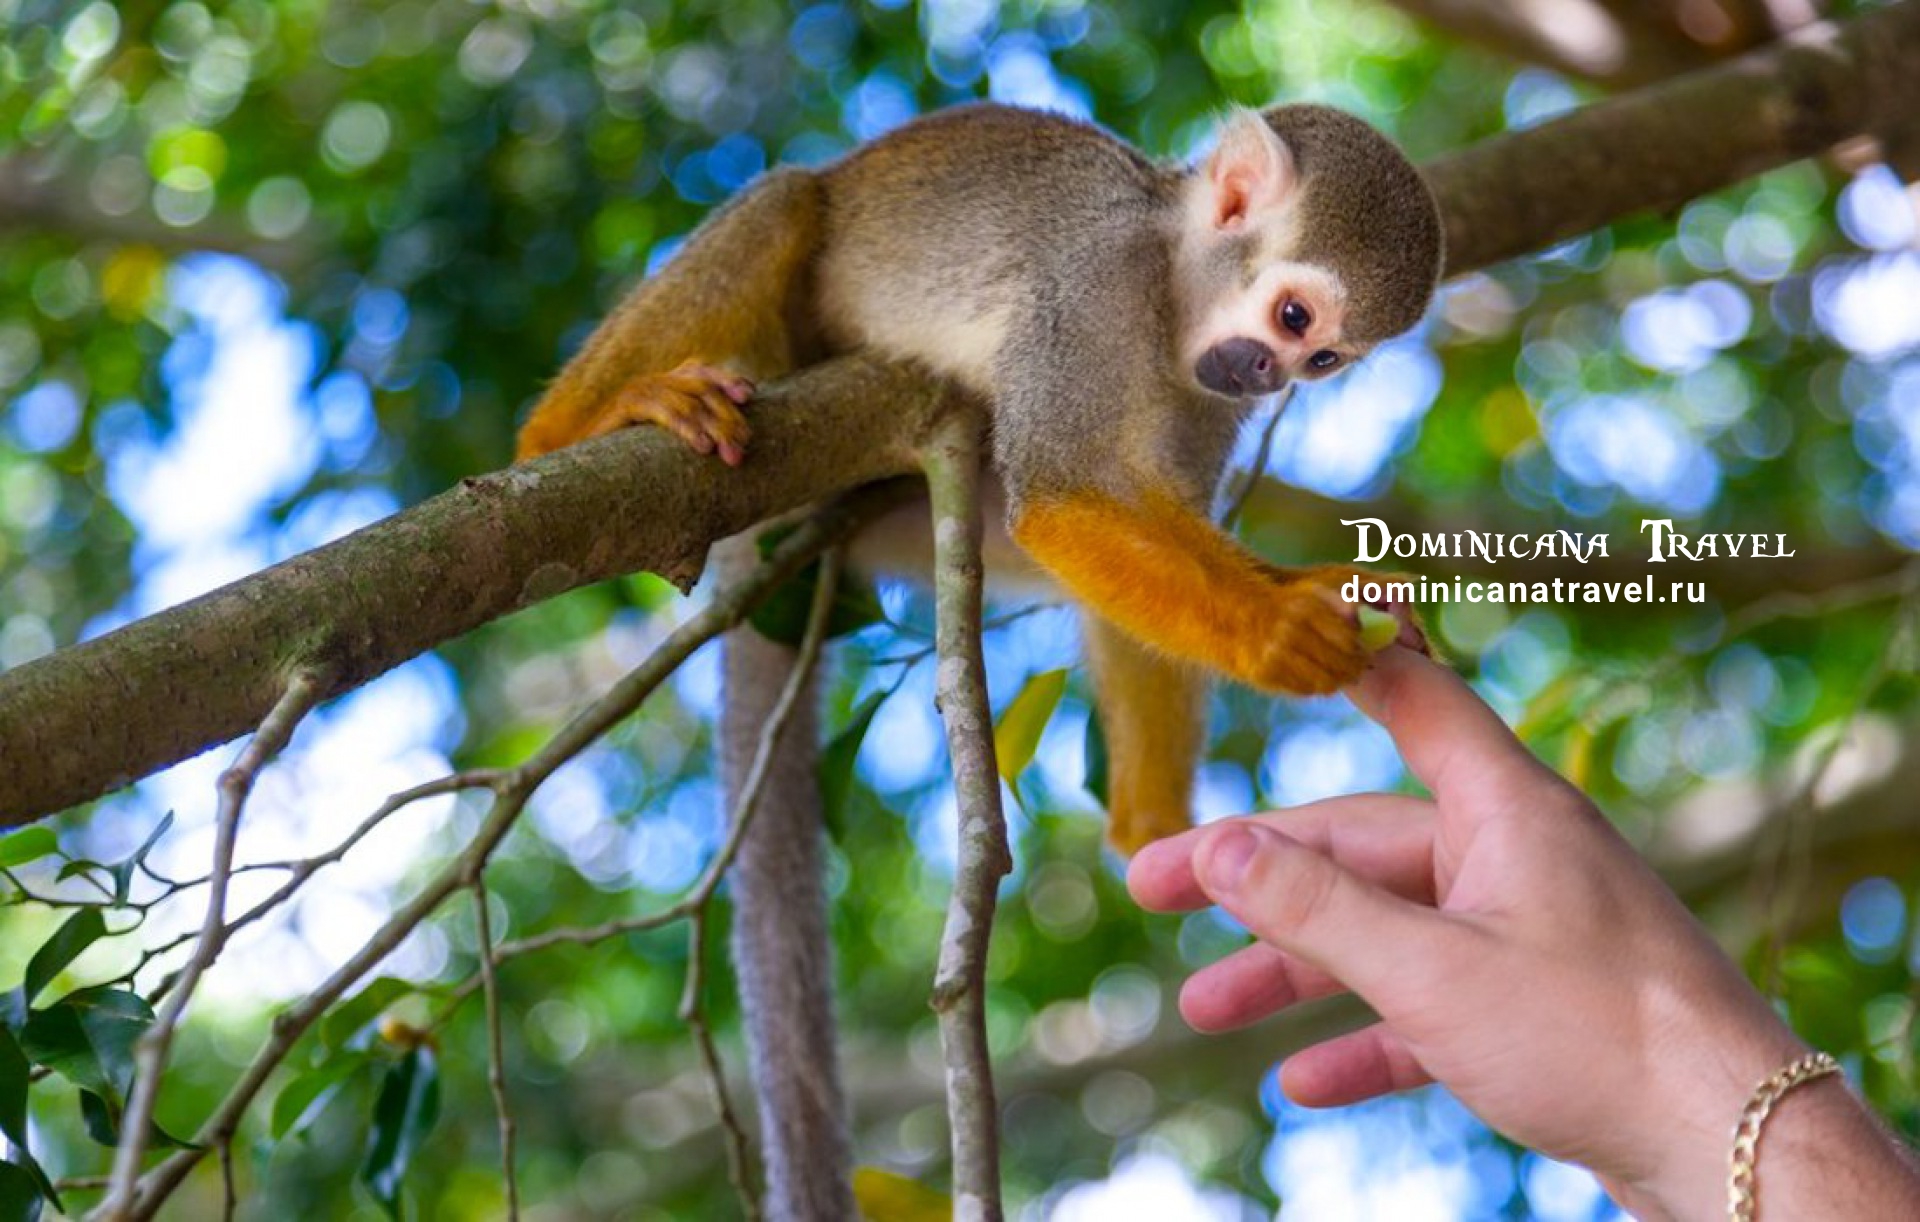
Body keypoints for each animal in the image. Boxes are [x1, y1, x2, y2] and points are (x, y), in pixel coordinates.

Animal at [514, 101, 1442, 1220]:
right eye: (1295, 317)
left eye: (1324, 362)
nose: (1269, 375)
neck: (1169, 293)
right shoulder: (1089, 295)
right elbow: (1062, 495)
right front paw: (1279, 631)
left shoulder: (1203, 398)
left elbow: (1127, 522)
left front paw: (1159, 830)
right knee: (787, 203)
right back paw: (570, 428)